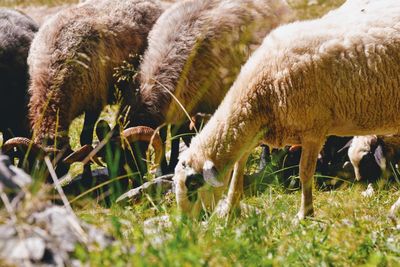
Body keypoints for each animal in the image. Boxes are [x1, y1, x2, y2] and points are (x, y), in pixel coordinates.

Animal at [173, 0, 400, 222]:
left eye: (192, 185)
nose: (187, 224)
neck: (260, 92)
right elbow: (238, 170)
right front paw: (231, 209)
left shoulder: (313, 130)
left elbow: (304, 172)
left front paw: (305, 214)